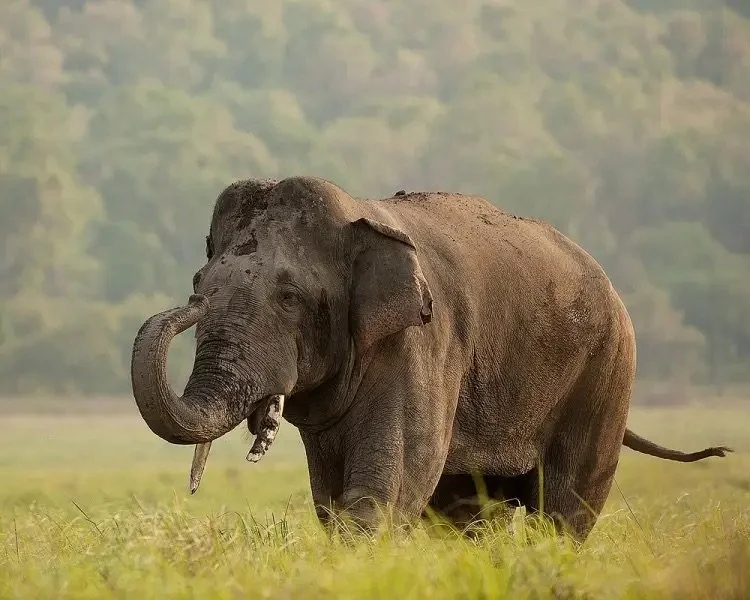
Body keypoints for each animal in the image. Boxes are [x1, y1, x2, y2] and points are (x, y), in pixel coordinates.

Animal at [130, 175, 732, 542]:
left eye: (290, 297)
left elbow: (388, 487)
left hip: (607, 370)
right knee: (469, 514)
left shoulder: (420, 340)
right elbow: (333, 498)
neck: (357, 215)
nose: (186, 307)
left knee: (565, 507)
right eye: (199, 283)